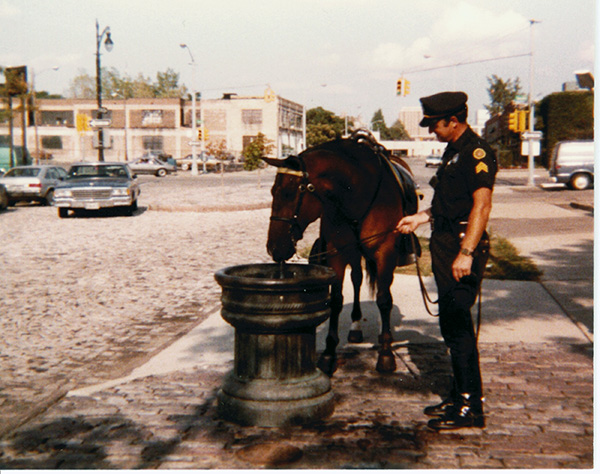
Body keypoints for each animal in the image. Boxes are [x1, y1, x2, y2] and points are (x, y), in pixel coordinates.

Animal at [264, 133, 420, 378]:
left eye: (290, 194)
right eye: (272, 192)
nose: (274, 248)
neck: (357, 193)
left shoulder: (385, 253)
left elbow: (384, 299)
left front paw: (386, 354)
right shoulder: (338, 253)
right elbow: (336, 300)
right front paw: (329, 354)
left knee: (383, 290)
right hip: (354, 254)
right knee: (356, 278)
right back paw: (356, 326)